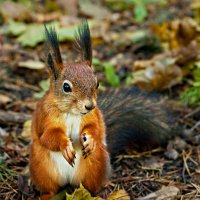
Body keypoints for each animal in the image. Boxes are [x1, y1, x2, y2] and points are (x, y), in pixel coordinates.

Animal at [29, 21, 175, 199]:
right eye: (66, 87)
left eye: (97, 83)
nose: (89, 106)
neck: (72, 113)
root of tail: (69, 182)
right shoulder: (45, 117)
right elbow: (47, 137)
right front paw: (65, 145)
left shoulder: (94, 116)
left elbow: (97, 130)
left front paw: (91, 139)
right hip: (42, 170)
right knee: (50, 189)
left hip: (95, 165)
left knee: (89, 187)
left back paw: (97, 193)